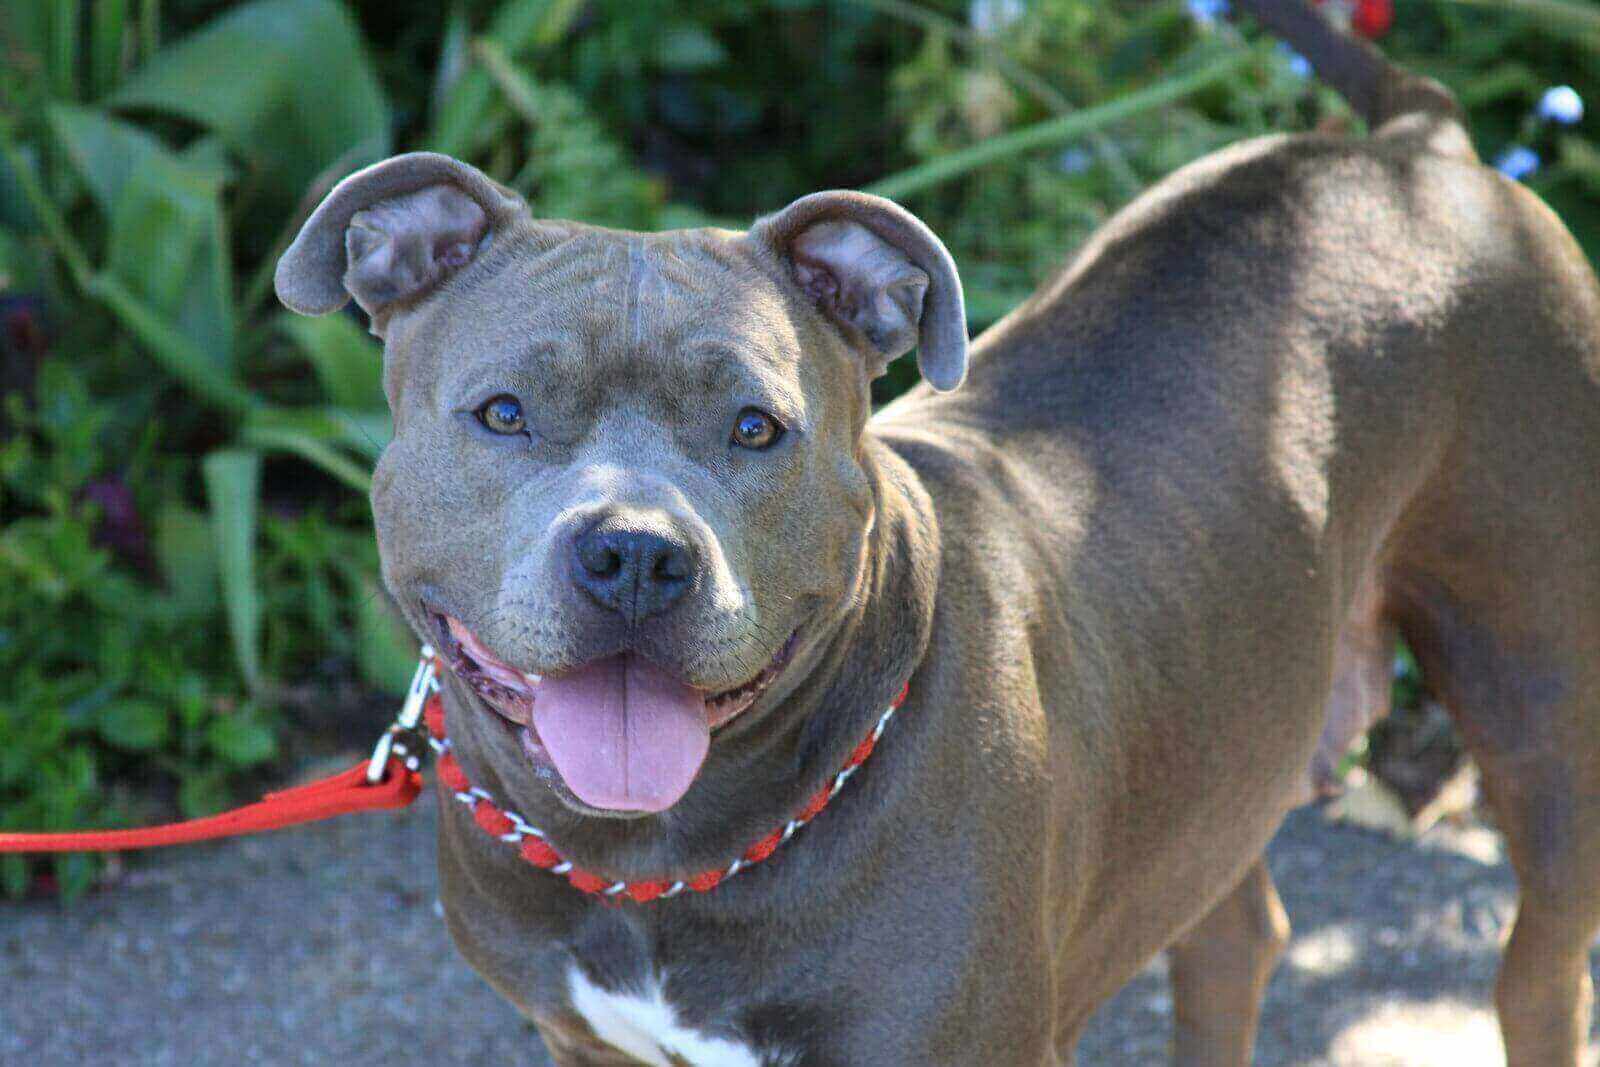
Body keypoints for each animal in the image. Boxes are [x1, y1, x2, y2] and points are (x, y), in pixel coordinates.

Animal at [275, 4, 1600, 1062]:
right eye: (503, 412)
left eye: (756, 426)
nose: (638, 554)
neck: (658, 855)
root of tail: (1419, 149)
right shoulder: (584, 1043)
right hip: (1218, 731)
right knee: (1232, 930)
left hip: (1540, 713)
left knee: (1536, 967)